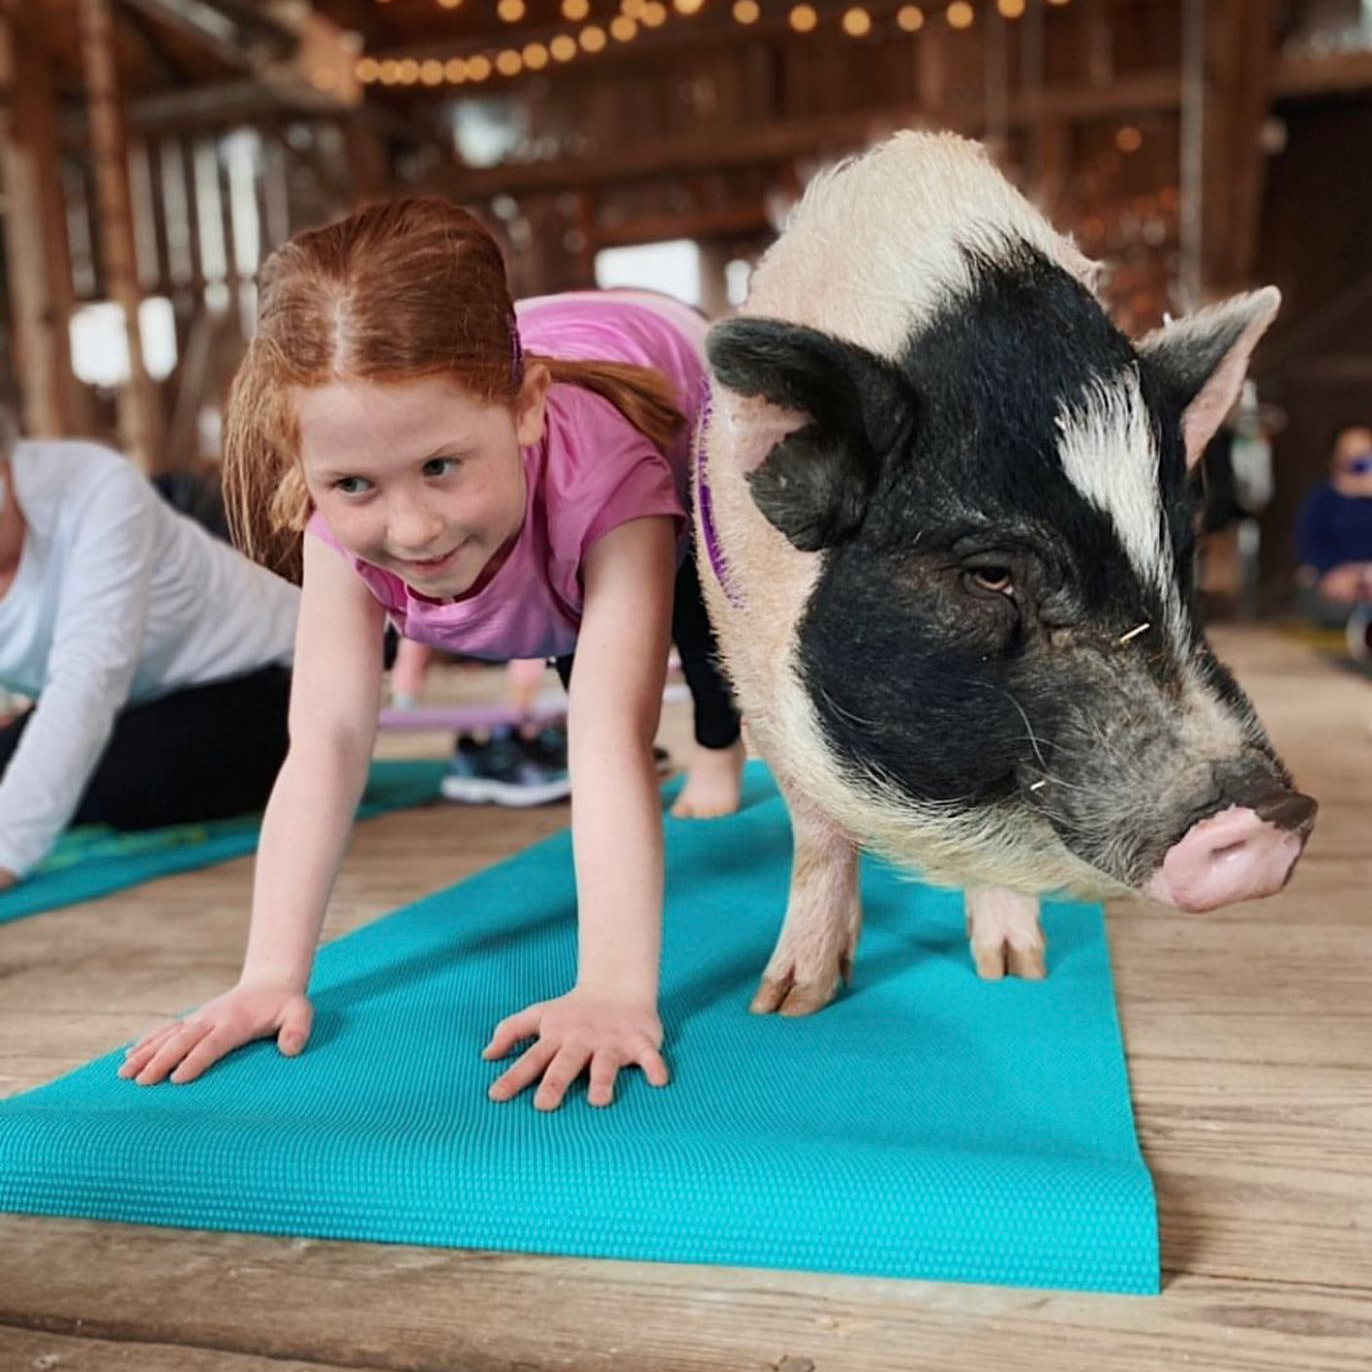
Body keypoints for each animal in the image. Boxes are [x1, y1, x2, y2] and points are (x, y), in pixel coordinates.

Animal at [696, 133, 1317, 1015]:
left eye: (1181, 554)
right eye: (990, 575)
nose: (1274, 811)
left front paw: (1017, 973)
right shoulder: (750, 653)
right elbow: (818, 835)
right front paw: (787, 1005)